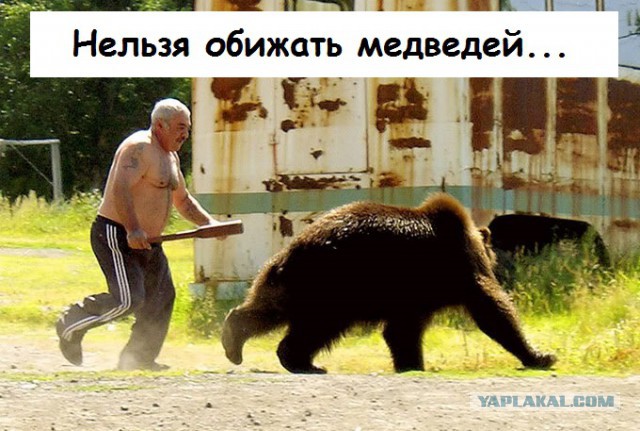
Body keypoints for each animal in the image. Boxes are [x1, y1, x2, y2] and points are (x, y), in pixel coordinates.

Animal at [222, 193, 556, 374]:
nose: (497, 257)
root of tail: (295, 247)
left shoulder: (413, 295)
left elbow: (401, 331)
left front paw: (411, 363)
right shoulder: (456, 268)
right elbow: (491, 308)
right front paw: (541, 355)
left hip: (289, 281)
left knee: (269, 309)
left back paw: (236, 341)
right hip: (334, 282)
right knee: (318, 326)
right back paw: (301, 360)